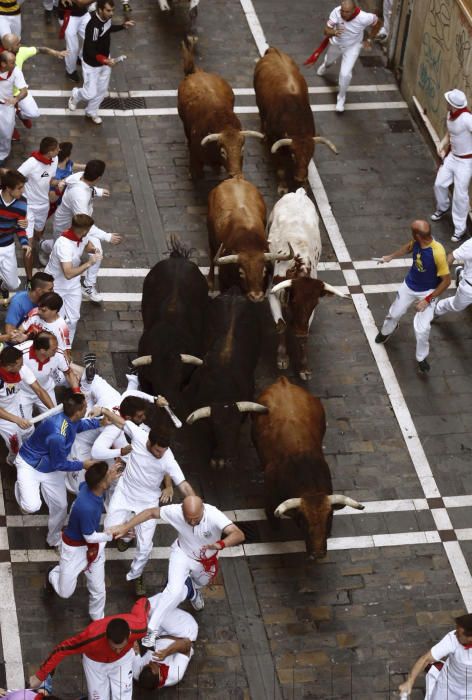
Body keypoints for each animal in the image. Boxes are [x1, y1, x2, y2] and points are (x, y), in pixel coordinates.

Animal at [268, 187, 348, 378]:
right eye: (295, 300)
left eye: (314, 304)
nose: (299, 330)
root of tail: (299, 193)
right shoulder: (272, 294)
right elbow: (281, 325)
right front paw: (282, 358)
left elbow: (304, 337)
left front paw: (304, 366)